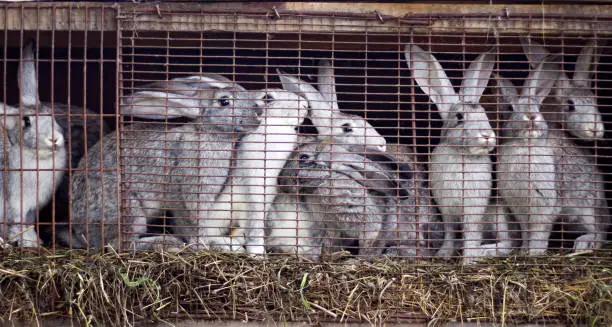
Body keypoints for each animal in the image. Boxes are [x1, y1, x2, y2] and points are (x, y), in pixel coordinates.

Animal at [406, 43, 498, 266]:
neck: (462, 155)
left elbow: (471, 233)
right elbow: (449, 231)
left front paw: (469, 260)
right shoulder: (446, 208)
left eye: (484, 114)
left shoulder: (473, 210)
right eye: (459, 117)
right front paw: (444, 254)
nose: (487, 135)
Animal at [494, 57, 560, 256]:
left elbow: (539, 232)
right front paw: (524, 251)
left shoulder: (544, 207)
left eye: (537, 106)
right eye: (510, 108)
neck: (524, 146)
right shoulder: (520, 209)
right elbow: (526, 230)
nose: (531, 116)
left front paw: (534, 253)